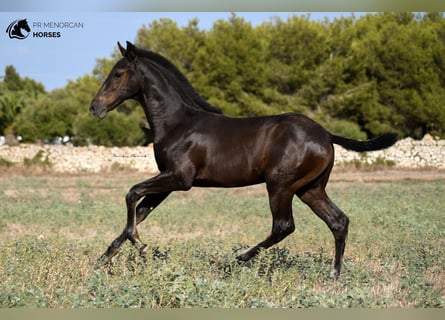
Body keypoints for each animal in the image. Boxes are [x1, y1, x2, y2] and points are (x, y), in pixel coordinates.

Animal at [90, 42, 396, 278]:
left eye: (118, 74)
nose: (95, 107)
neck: (177, 123)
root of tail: (325, 134)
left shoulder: (179, 178)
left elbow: (132, 194)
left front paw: (139, 245)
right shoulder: (167, 183)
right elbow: (140, 211)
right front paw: (103, 259)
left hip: (281, 186)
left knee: (284, 226)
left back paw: (236, 260)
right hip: (311, 189)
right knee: (338, 221)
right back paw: (334, 275)